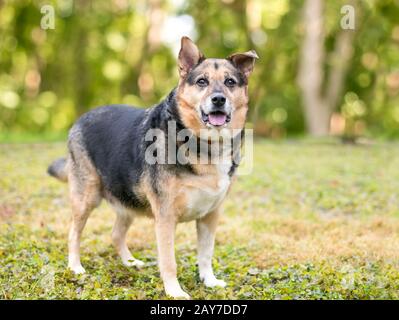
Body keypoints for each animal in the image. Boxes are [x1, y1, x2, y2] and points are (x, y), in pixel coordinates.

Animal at [47, 37, 260, 300]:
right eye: (202, 81)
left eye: (230, 82)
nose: (219, 99)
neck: (204, 144)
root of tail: (81, 118)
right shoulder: (166, 217)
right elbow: (169, 261)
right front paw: (174, 291)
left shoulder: (211, 216)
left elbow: (206, 254)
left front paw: (208, 280)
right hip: (86, 198)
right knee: (73, 233)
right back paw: (75, 267)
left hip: (127, 199)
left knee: (116, 233)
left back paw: (129, 262)